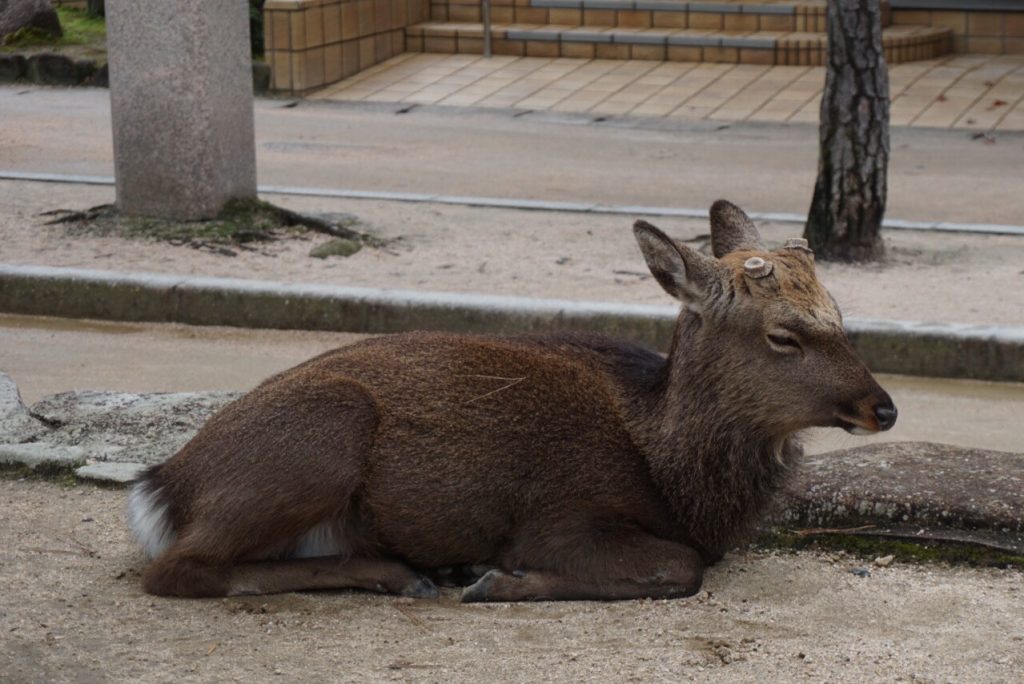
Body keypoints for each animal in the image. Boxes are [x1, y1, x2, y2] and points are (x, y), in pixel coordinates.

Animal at [128, 200, 896, 602]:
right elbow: (680, 569)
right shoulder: (562, 512)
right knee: (180, 570)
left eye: (840, 314)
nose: (883, 406)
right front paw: (497, 579)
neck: (675, 480)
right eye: (784, 336)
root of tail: (163, 485)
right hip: (322, 436)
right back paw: (409, 573)